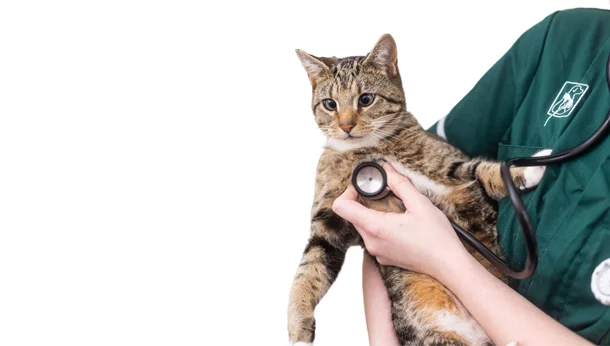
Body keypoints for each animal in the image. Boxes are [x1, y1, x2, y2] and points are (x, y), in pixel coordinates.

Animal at [288, 33, 544, 346]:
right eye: (329, 104)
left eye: (366, 99)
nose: (346, 126)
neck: (367, 151)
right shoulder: (328, 221)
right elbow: (307, 270)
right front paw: (298, 329)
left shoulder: (452, 169)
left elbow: (482, 169)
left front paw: (529, 169)